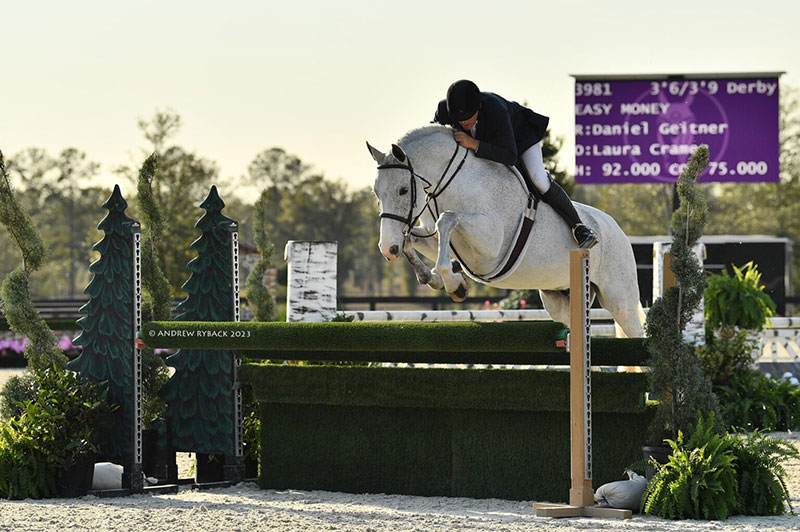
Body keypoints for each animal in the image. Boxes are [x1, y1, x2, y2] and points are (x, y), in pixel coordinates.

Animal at [366, 124, 648, 336]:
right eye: (377, 193)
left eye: (403, 190)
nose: (387, 249)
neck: (453, 184)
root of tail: (617, 229)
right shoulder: (437, 240)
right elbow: (414, 239)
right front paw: (433, 278)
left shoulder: (489, 242)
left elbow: (446, 220)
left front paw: (454, 283)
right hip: (561, 298)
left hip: (619, 299)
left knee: (635, 331)